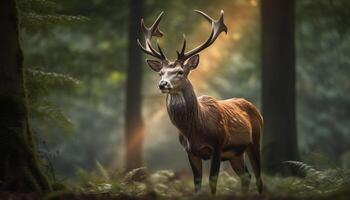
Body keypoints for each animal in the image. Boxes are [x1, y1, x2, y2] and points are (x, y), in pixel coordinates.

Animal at [137, 10, 262, 195]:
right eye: (161, 73)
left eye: (180, 72)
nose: (163, 84)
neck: (196, 131)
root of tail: (255, 108)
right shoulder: (190, 151)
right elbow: (197, 184)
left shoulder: (218, 145)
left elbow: (212, 182)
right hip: (235, 154)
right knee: (246, 176)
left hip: (255, 141)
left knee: (259, 177)